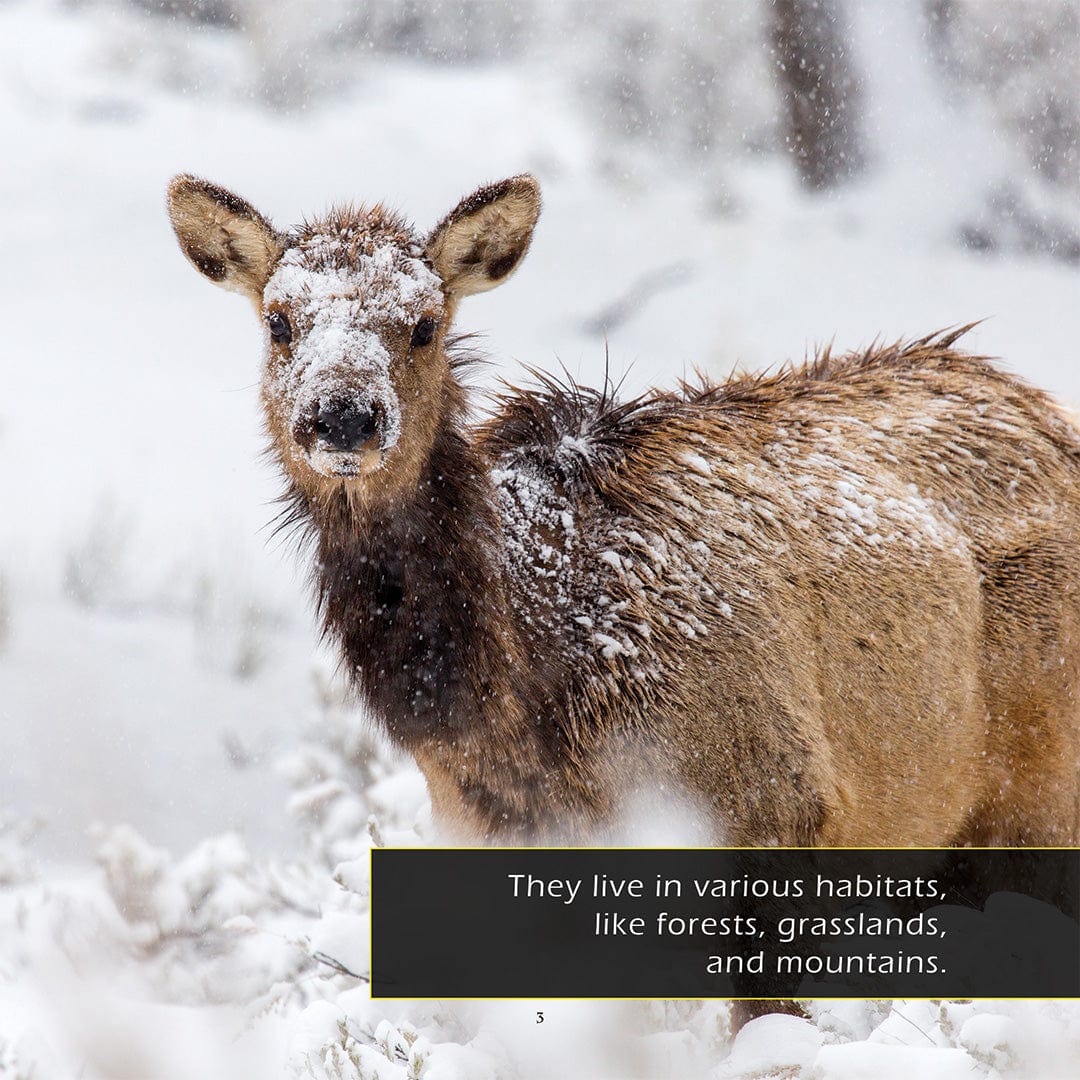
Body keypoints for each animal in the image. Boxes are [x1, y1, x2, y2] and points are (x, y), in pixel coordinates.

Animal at [167, 173, 1080, 851]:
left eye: (425, 324)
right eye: (279, 322)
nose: (345, 417)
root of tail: (1048, 414)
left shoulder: (774, 801)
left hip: (1039, 795)